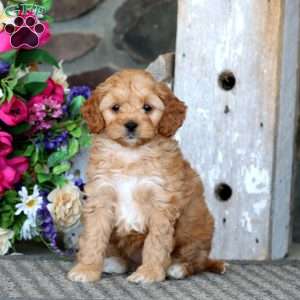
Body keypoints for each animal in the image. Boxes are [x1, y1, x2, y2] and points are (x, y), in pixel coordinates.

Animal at [67, 69, 224, 282]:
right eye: (115, 108)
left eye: (147, 108)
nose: (131, 124)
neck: (130, 154)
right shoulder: (101, 196)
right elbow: (94, 237)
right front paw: (87, 269)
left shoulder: (161, 201)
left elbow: (156, 242)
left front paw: (149, 272)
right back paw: (114, 262)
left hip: (197, 231)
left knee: (197, 260)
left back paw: (178, 267)